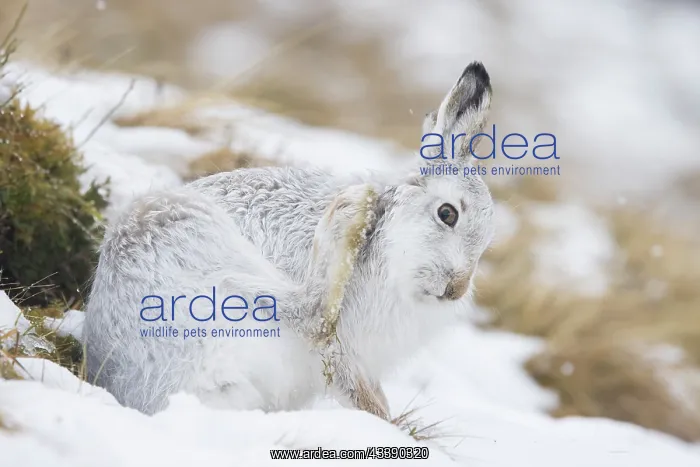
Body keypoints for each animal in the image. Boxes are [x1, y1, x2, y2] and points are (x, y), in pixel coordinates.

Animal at [84, 61, 495, 420]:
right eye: (447, 214)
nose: (456, 289)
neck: (389, 237)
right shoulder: (342, 349)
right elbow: (349, 378)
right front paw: (386, 425)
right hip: (193, 238)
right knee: (309, 312)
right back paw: (348, 211)